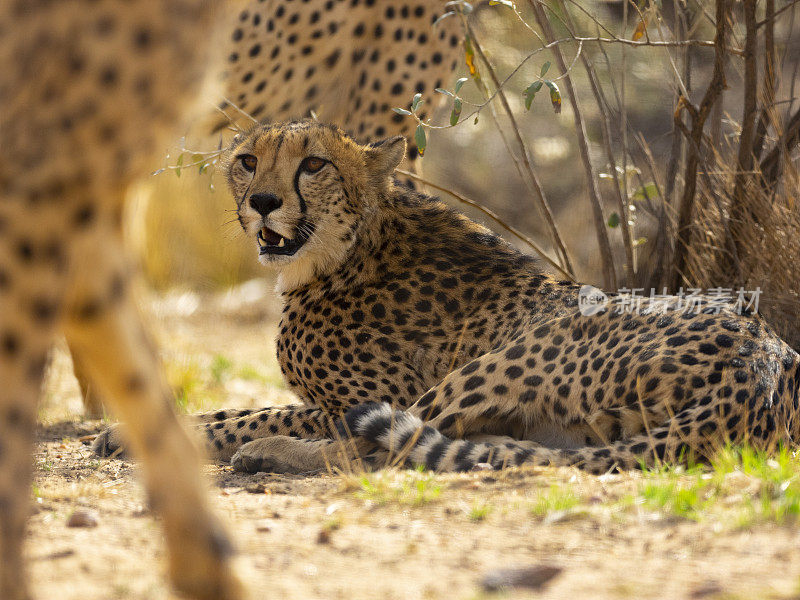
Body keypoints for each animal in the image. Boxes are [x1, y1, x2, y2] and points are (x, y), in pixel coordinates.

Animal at [98, 122, 800, 476]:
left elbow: (266, 414)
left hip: (517, 351)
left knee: (377, 451)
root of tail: (763, 358)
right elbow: (247, 405)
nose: (263, 202)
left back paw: (269, 457)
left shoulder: (366, 396)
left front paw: (212, 436)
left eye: (313, 164)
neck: (353, 243)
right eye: (246, 160)